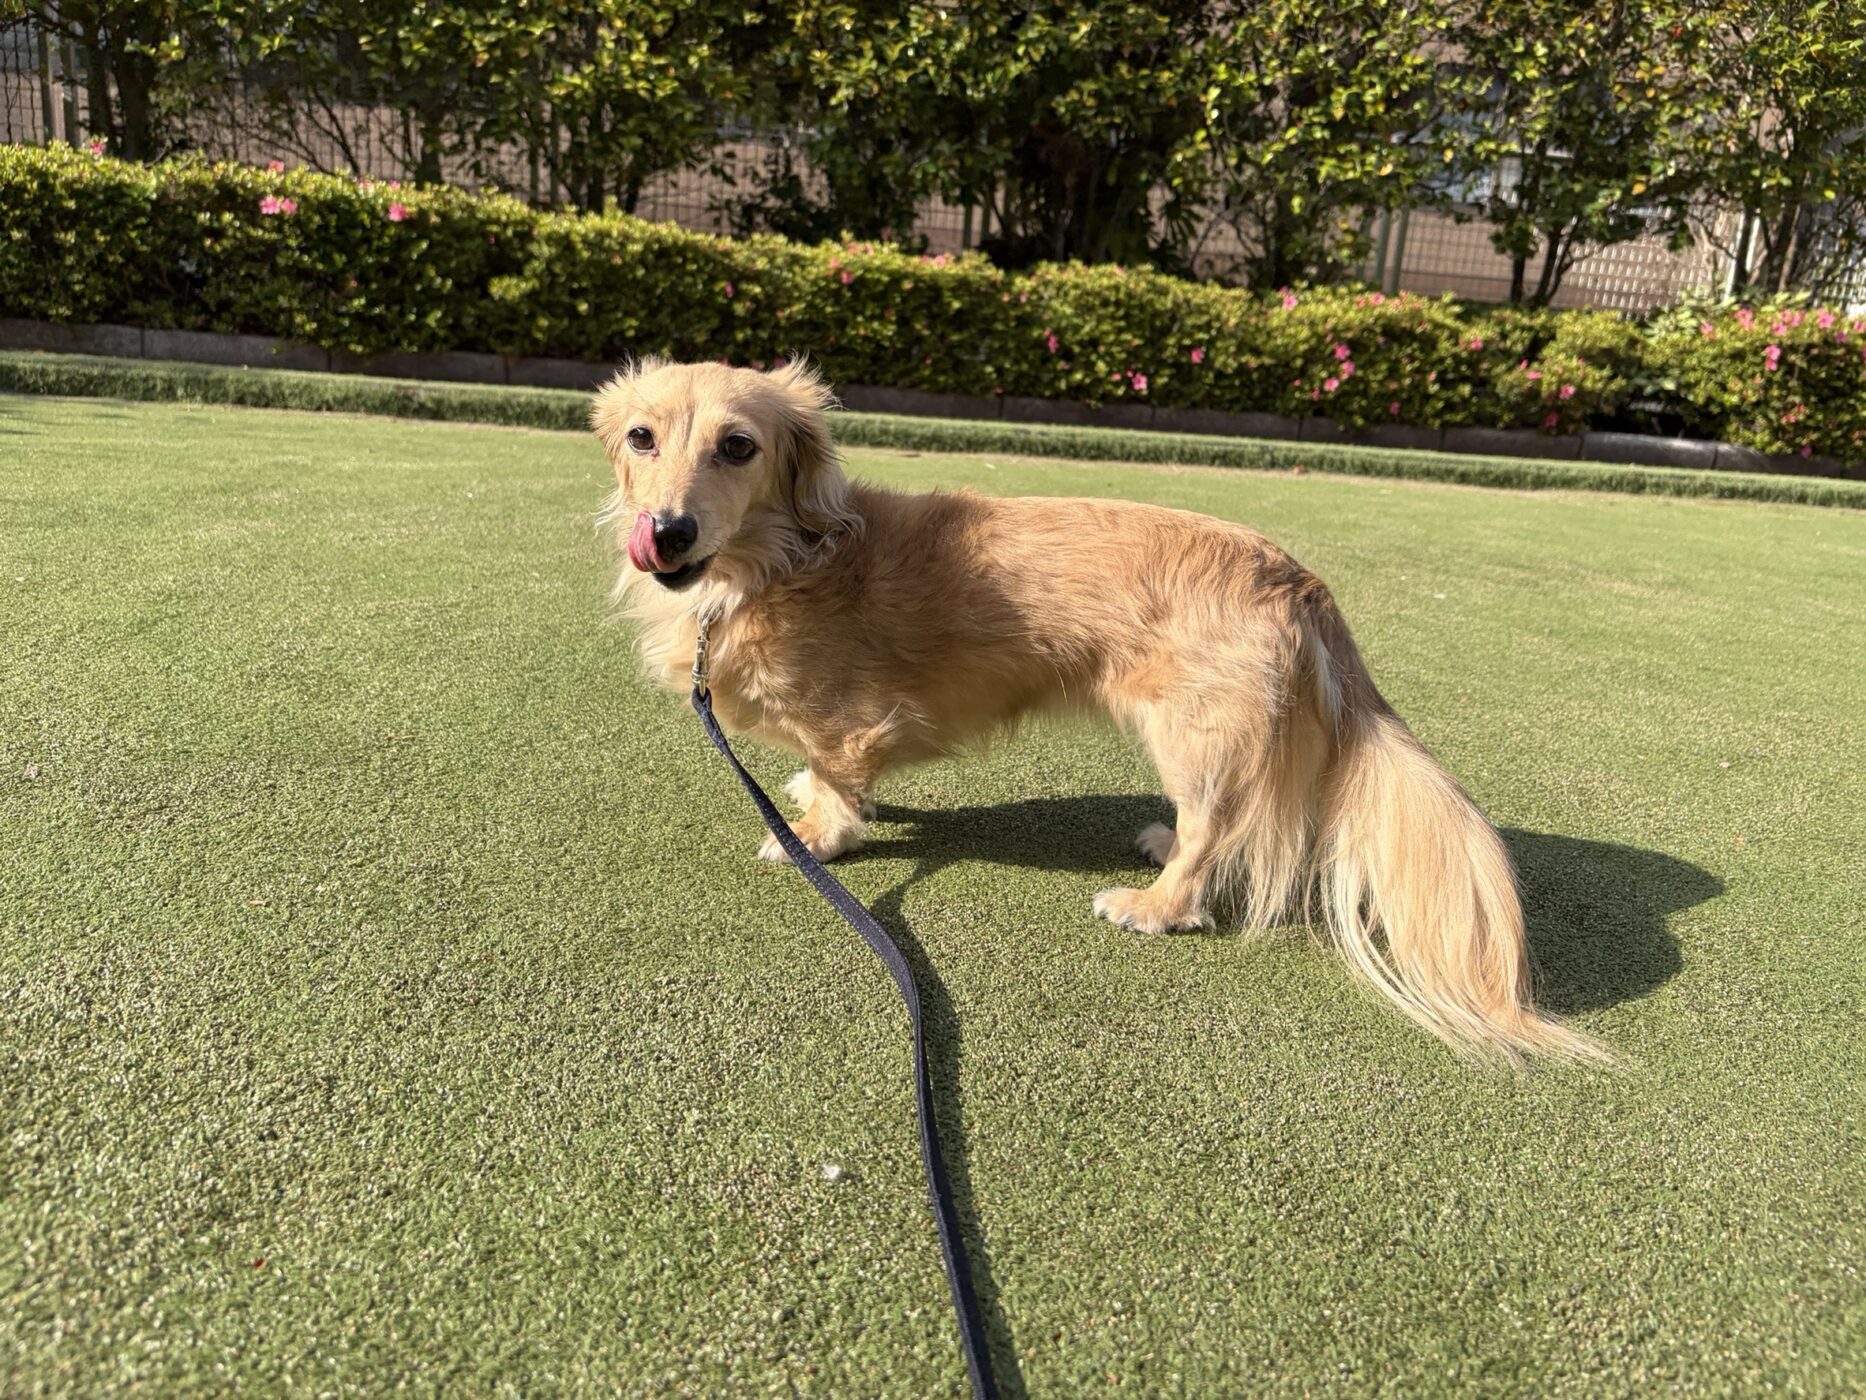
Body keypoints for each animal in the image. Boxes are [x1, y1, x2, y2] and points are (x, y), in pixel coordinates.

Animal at [593, 358, 1602, 1065]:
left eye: (738, 446)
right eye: (642, 437)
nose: (668, 533)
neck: (777, 563)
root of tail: (1296, 578)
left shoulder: (851, 720)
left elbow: (841, 785)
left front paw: (811, 832)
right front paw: (804, 796)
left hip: (1192, 735)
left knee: (1216, 836)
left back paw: (1155, 905)